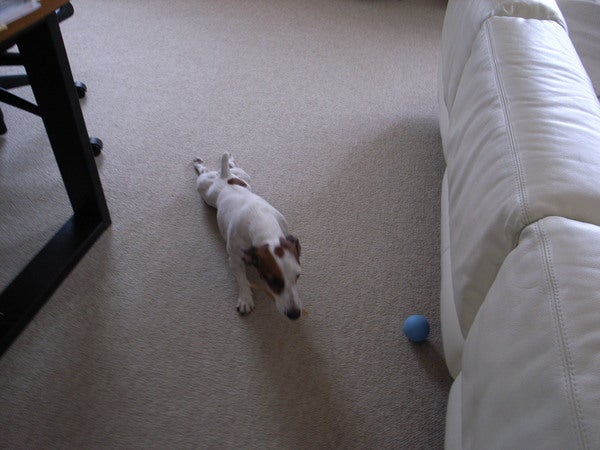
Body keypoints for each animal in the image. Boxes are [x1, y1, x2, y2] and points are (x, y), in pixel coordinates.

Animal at [194, 153, 302, 320]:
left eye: (297, 276)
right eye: (272, 280)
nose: (295, 314)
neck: (262, 223)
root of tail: (225, 177)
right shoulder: (234, 260)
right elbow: (242, 279)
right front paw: (245, 299)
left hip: (243, 176)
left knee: (229, 167)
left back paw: (229, 162)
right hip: (204, 189)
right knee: (203, 172)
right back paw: (199, 164)